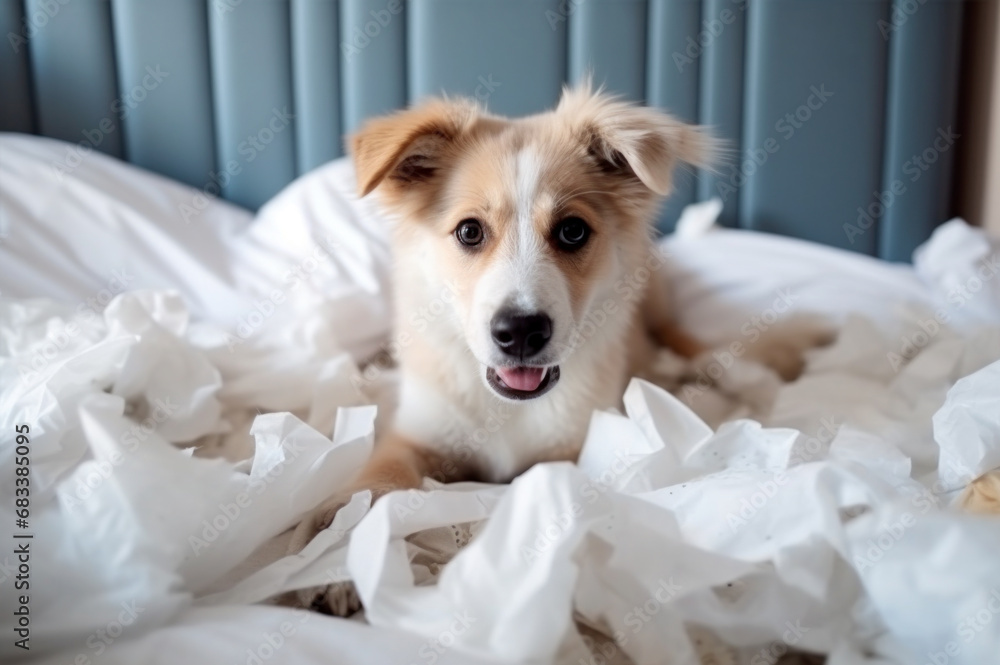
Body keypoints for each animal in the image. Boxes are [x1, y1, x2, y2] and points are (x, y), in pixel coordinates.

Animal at [288, 84, 828, 616]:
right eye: (469, 231)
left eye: (572, 230)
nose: (521, 332)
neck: (510, 409)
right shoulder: (416, 435)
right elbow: (374, 484)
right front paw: (336, 555)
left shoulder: (577, 453)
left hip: (656, 300)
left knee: (690, 346)